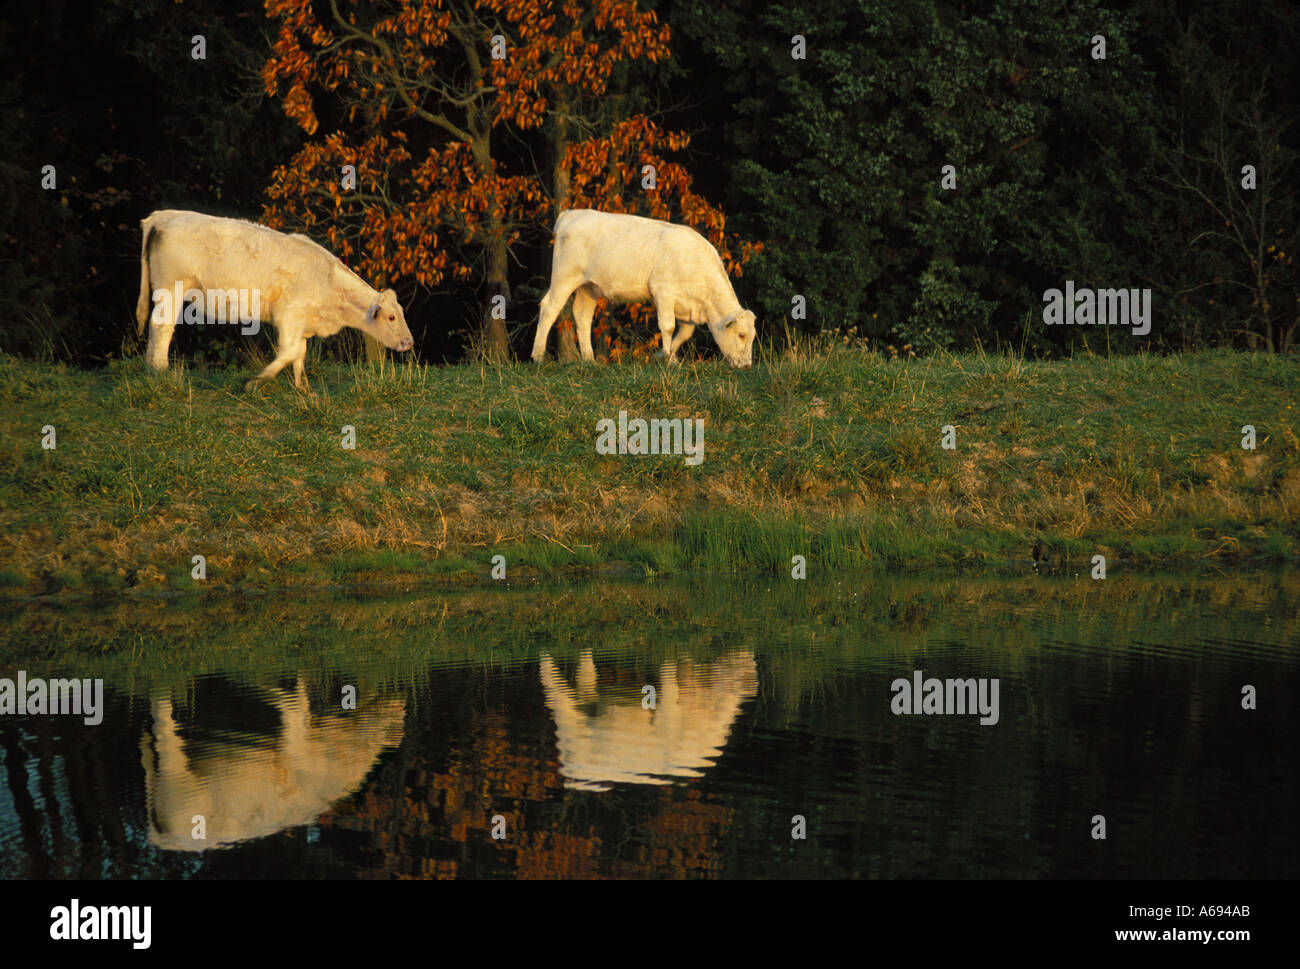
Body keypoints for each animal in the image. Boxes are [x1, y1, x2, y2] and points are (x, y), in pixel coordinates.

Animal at [136, 209, 410, 390]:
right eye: (391, 317)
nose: (409, 342)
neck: (328, 281)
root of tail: (163, 216)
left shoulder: (302, 322)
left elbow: (300, 352)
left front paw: (302, 388)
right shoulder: (289, 315)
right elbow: (291, 350)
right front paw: (255, 381)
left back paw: (150, 369)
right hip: (171, 290)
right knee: (162, 327)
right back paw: (161, 370)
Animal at [527, 208, 759, 366]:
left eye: (752, 335)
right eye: (741, 334)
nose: (747, 366)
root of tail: (571, 213)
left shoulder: (688, 308)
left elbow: (684, 334)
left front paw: (668, 357)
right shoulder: (663, 291)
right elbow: (668, 326)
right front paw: (667, 359)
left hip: (588, 287)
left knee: (582, 316)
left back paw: (589, 359)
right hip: (564, 276)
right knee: (549, 309)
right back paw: (537, 356)